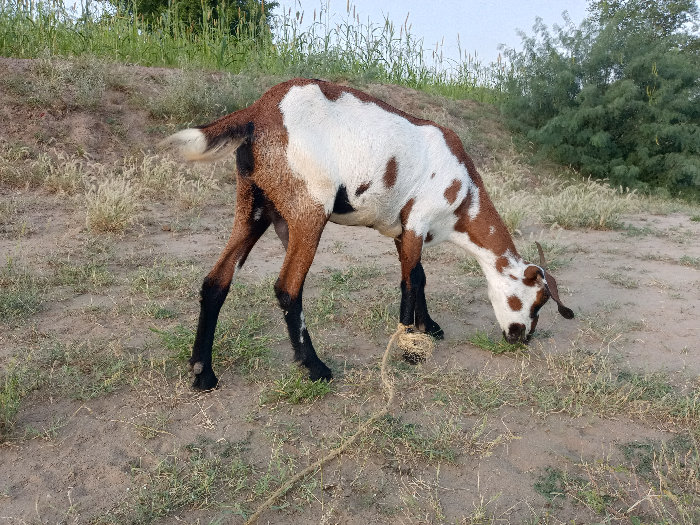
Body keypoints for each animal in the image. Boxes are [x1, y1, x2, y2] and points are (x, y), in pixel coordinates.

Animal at [161, 78, 574, 390]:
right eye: (537, 301)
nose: (522, 337)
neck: (464, 193)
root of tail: (259, 110)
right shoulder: (418, 221)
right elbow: (410, 282)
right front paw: (409, 349)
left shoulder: (403, 231)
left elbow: (419, 276)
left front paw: (428, 327)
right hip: (308, 210)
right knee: (287, 288)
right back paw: (315, 368)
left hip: (255, 206)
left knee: (216, 281)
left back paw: (203, 374)